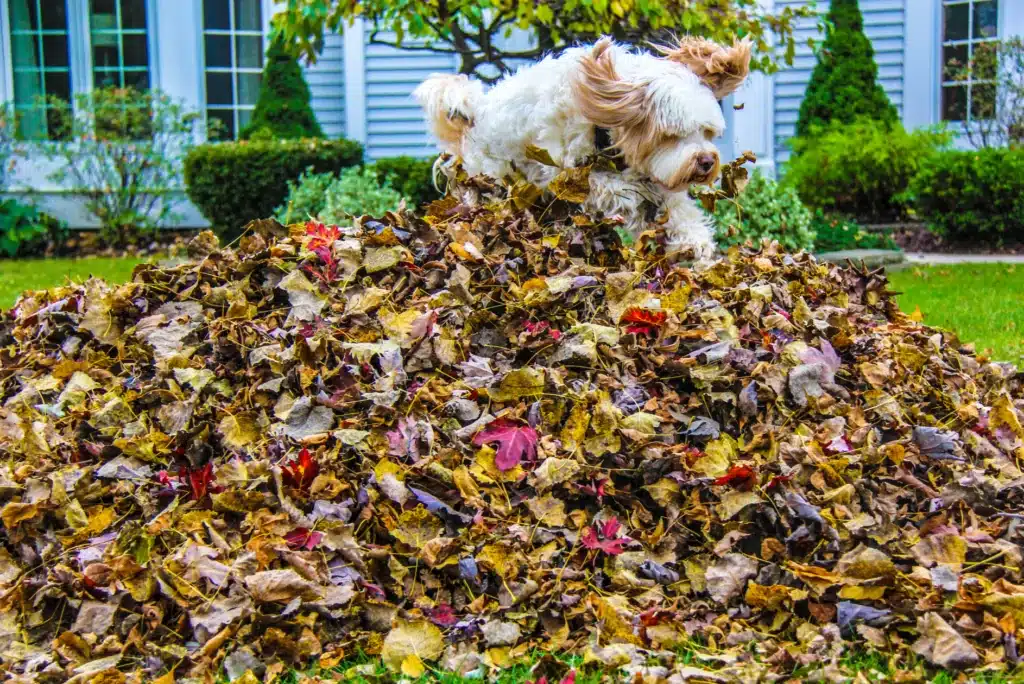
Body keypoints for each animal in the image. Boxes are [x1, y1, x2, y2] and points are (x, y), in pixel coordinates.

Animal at [411, 36, 749, 259]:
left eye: (707, 132)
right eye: (671, 135)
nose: (705, 161)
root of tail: (474, 116)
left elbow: (676, 205)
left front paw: (694, 240)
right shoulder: (571, 175)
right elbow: (622, 192)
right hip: (492, 181)